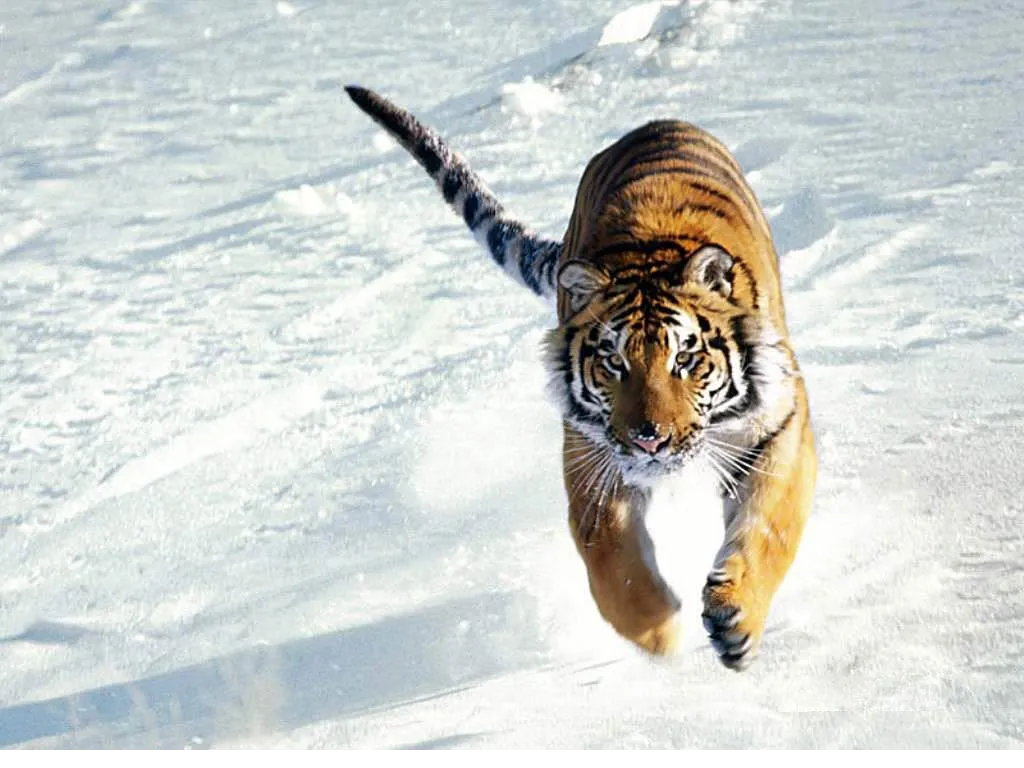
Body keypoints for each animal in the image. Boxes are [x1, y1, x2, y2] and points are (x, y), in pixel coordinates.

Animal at [345, 85, 816, 671]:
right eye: (614, 363)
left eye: (685, 359)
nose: (650, 439)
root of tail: (653, 123)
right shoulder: (591, 454)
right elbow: (612, 561)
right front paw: (658, 632)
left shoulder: (778, 427)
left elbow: (769, 528)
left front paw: (736, 621)